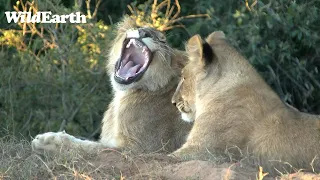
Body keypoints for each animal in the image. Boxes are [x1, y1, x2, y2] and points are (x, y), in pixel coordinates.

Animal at [31, 16, 192, 155]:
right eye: (138, 27)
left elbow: (91, 148)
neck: (123, 94)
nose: (143, 32)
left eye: (162, 41)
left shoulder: (141, 150)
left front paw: (47, 141)